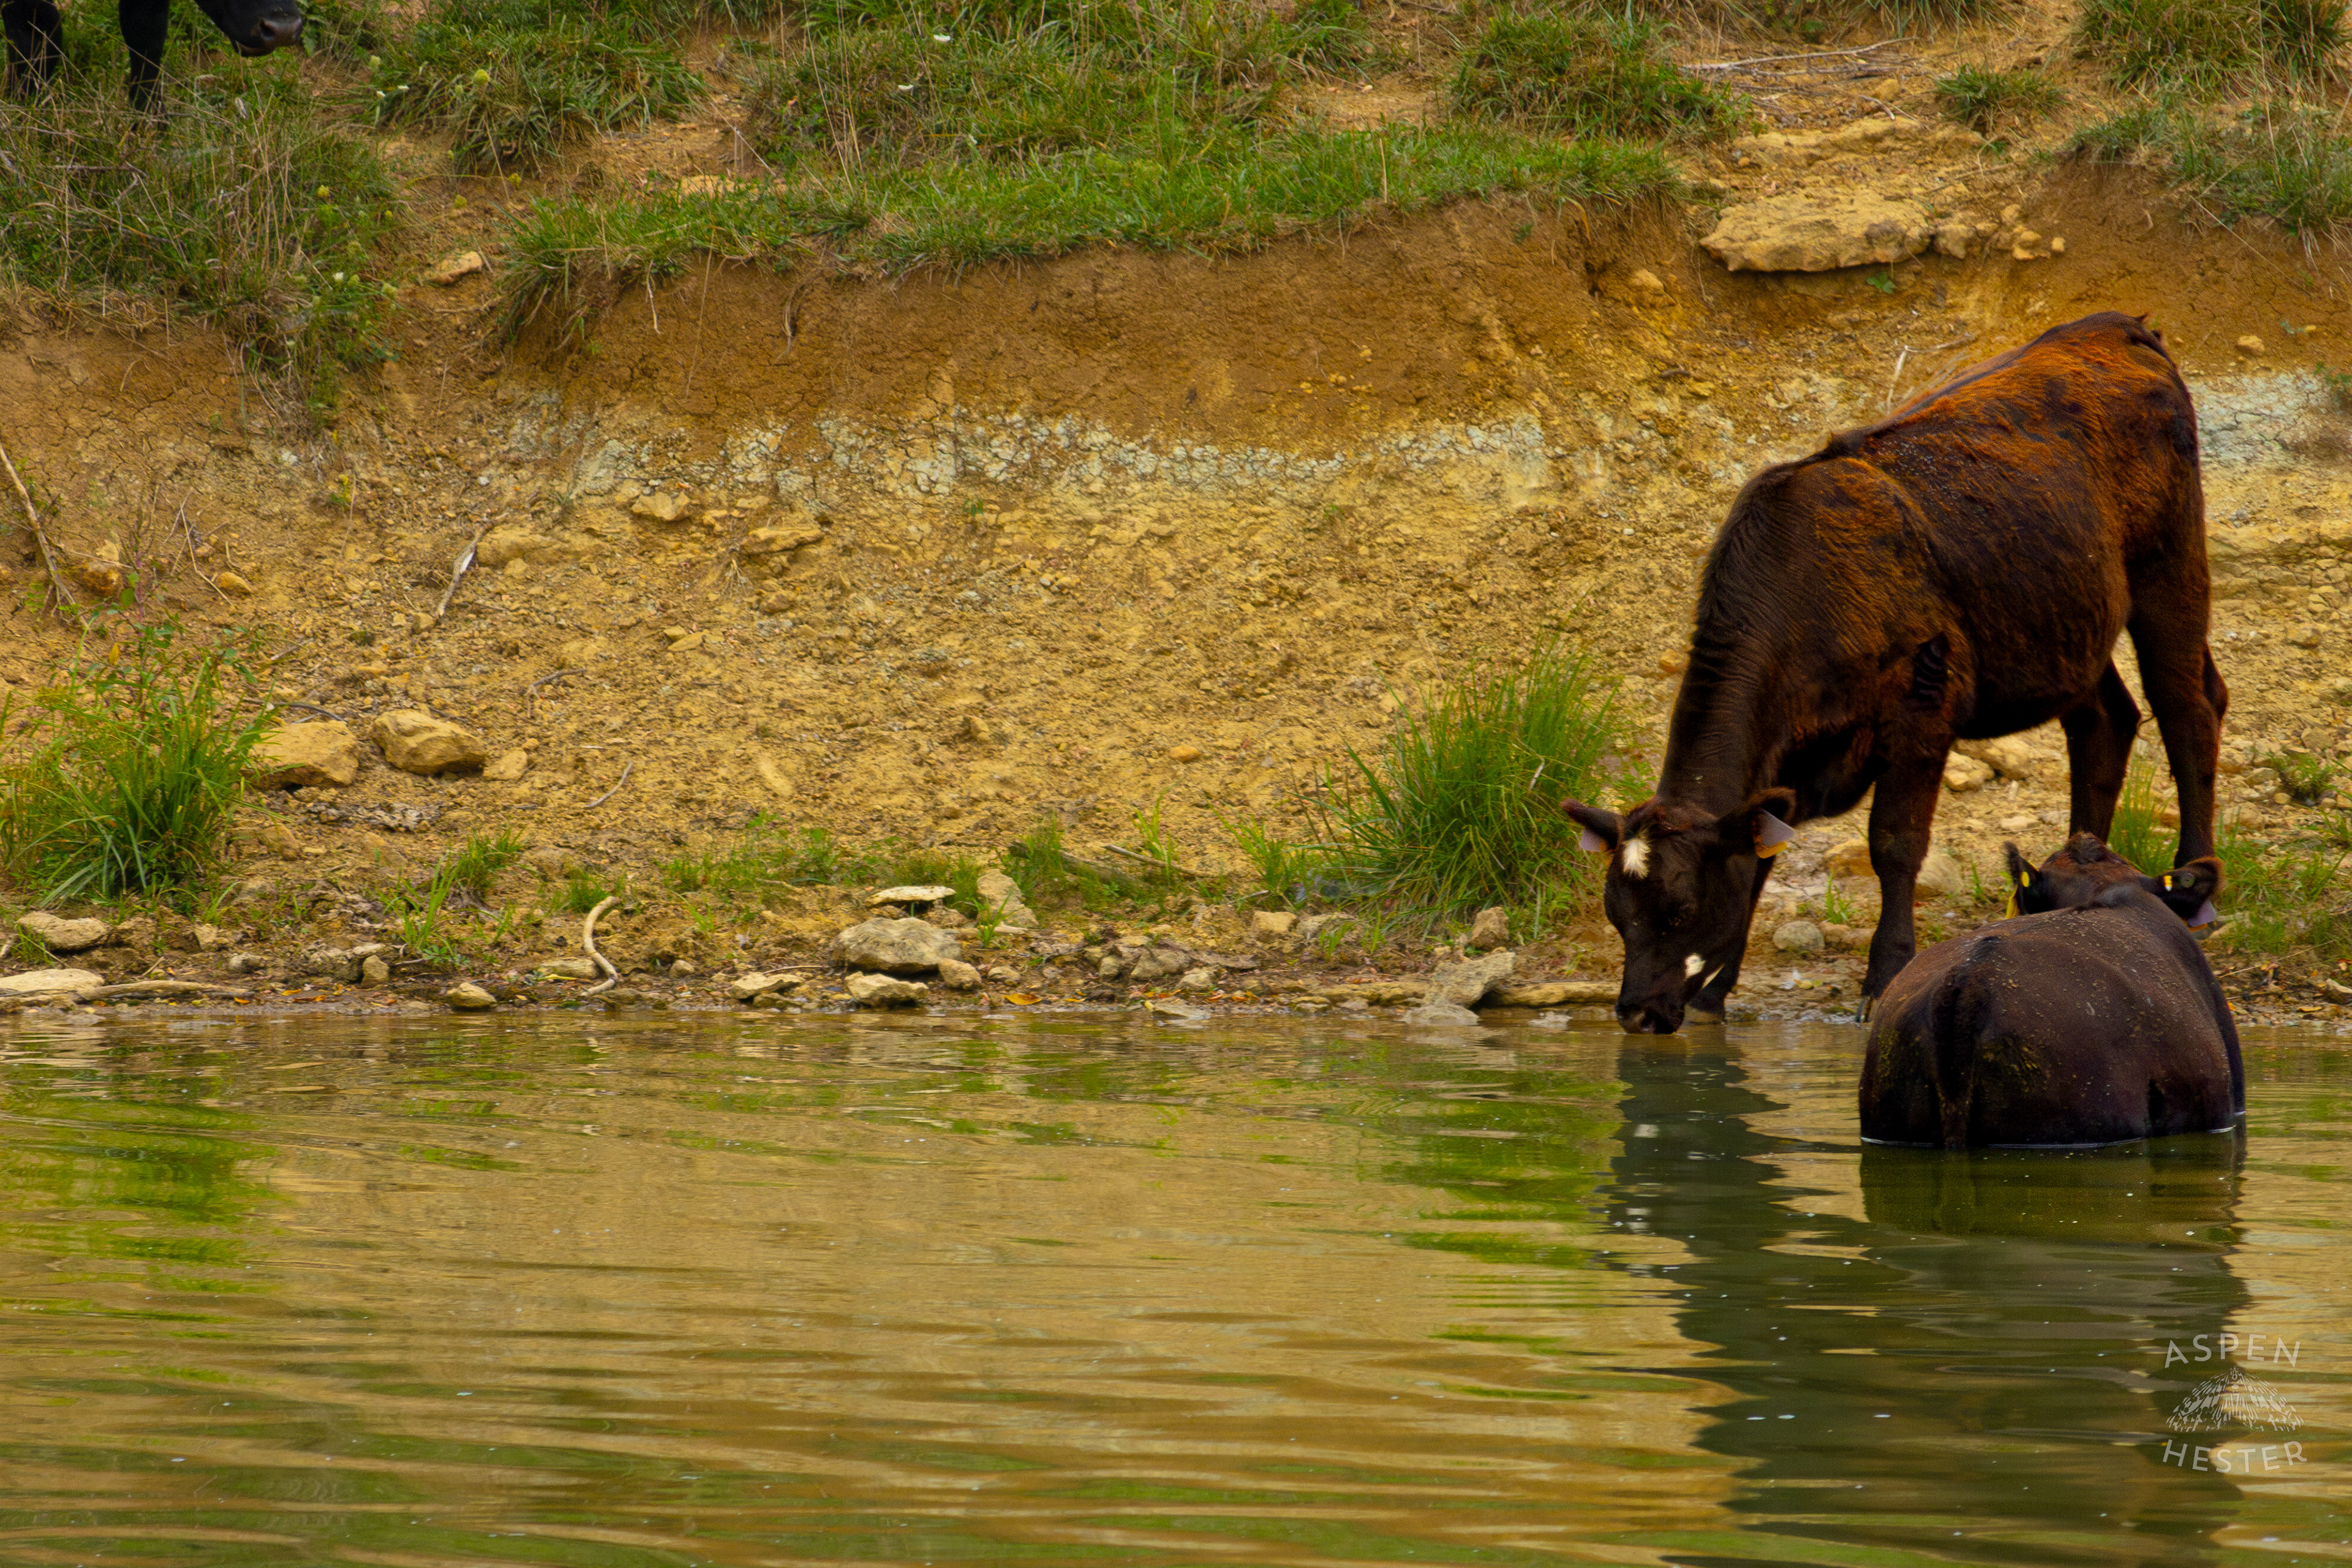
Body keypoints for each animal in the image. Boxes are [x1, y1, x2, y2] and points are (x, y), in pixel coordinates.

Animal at [1561, 311, 2228, 1034]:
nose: (1637, 1013)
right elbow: (1763, 860)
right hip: (2065, 623)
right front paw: (1717, 991)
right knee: (2107, 721)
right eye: (1616, 912)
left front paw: (1883, 976)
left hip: (2170, 569)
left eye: (1680, 909)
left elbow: (1895, 845)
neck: (1805, 586)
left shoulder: (1921, 712)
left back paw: (2195, 883)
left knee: (2188, 709)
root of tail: (2112, 326)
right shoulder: (1786, 763)